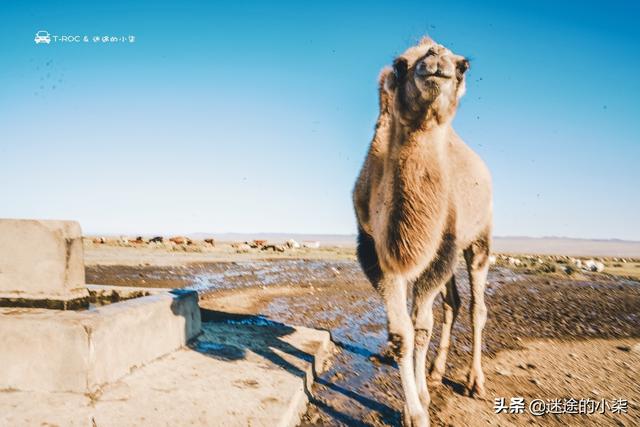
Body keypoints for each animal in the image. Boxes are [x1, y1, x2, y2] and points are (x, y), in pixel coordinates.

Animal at [352, 38, 492, 426]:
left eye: (462, 66)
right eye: (401, 63)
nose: (436, 59)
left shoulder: (443, 245)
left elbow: (421, 326)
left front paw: (422, 401)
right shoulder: (375, 249)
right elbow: (402, 333)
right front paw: (414, 410)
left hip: (478, 240)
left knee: (476, 308)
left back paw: (474, 381)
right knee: (453, 303)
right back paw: (435, 371)